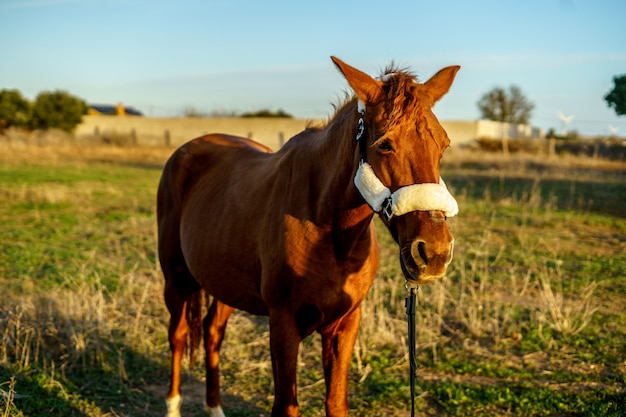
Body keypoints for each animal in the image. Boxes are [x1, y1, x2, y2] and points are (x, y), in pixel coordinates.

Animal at [156, 56, 458, 416]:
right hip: (176, 279)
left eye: (443, 145)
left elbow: (336, 403)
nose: (433, 253)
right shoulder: (283, 325)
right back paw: (173, 405)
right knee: (177, 335)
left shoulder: (346, 324)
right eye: (385, 144)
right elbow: (286, 406)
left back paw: (215, 407)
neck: (331, 237)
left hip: (224, 282)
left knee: (212, 332)